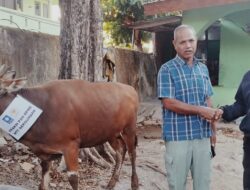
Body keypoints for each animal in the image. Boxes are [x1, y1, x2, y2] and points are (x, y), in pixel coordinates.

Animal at [0, 66, 139, 189]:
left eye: (1, 90)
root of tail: (131, 89)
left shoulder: (71, 145)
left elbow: (73, 179)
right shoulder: (45, 154)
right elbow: (43, 184)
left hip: (130, 127)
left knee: (132, 152)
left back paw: (134, 184)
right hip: (111, 133)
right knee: (121, 150)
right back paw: (110, 184)